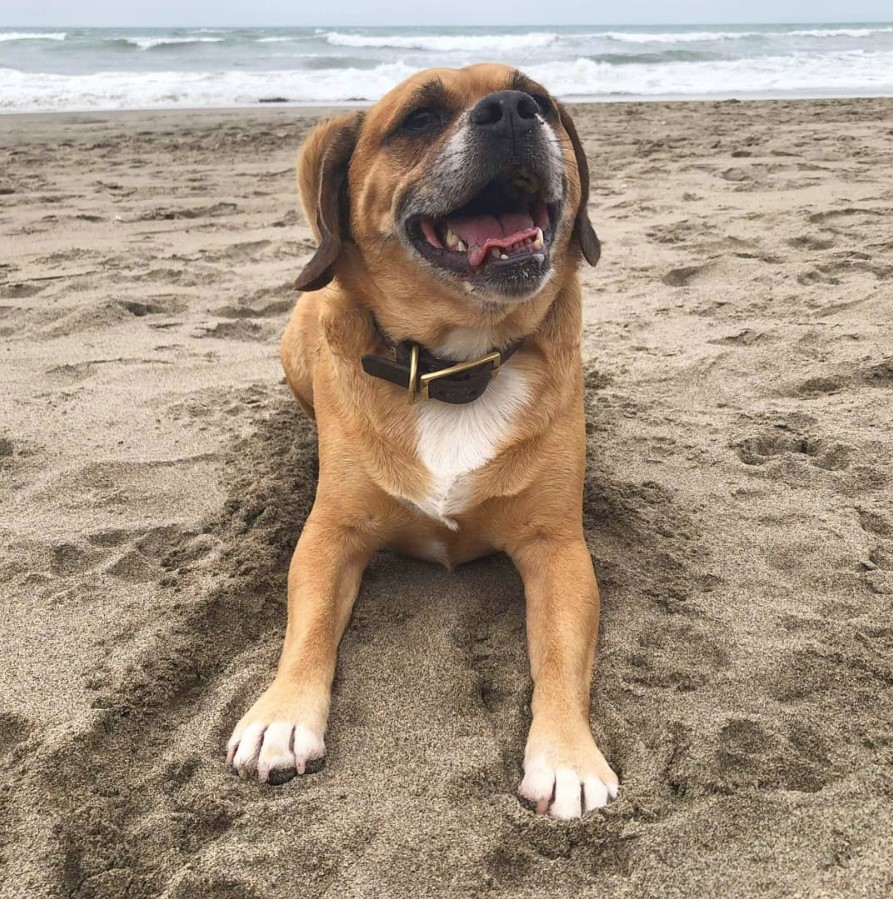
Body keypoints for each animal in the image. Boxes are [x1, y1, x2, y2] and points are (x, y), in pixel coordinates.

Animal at [226, 63, 620, 820]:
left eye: (541, 99)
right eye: (419, 118)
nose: (514, 109)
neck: (454, 366)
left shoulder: (558, 549)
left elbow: (562, 658)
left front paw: (566, 755)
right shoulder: (331, 534)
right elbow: (307, 628)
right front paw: (281, 715)